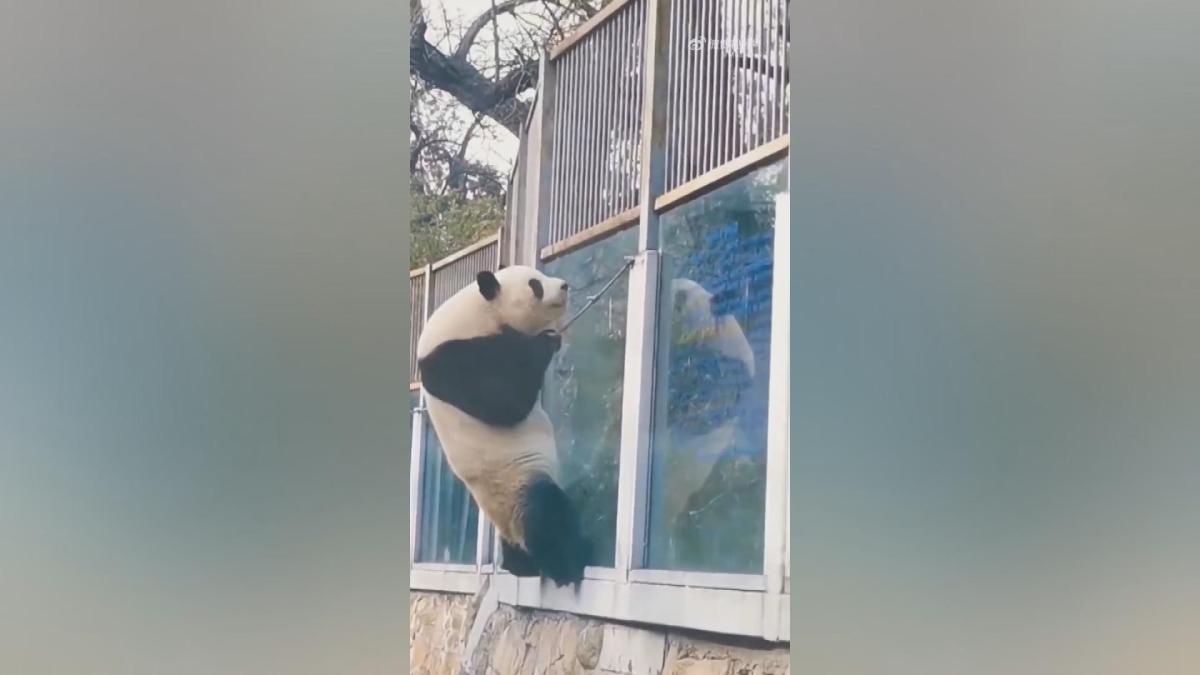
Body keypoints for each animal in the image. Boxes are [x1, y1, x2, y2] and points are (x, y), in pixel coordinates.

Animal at [416, 264, 590, 587]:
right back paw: (568, 563)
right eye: (535, 285)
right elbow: (504, 404)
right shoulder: (452, 359)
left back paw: (522, 565)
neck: (478, 312)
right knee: (546, 513)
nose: (564, 286)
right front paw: (547, 340)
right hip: (517, 481)